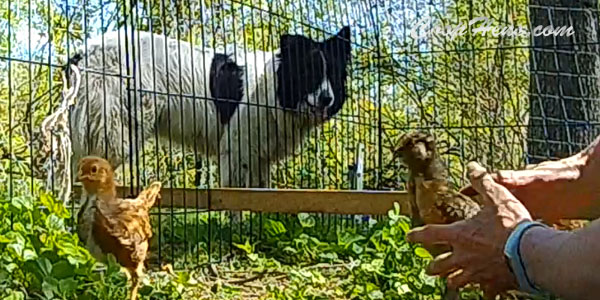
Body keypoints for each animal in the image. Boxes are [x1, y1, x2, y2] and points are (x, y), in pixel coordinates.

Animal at [67, 28, 352, 188]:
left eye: (332, 74)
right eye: (309, 72)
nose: (327, 99)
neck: (270, 89)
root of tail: (85, 50)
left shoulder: (259, 156)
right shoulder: (238, 152)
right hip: (116, 132)